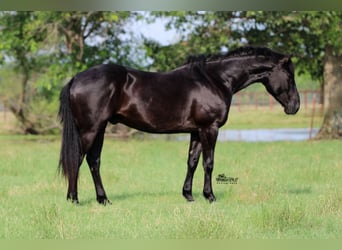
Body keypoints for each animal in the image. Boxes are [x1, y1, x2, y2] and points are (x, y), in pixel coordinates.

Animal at [58, 46, 300, 204]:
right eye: (290, 76)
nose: (295, 106)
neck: (215, 80)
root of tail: (76, 78)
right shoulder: (210, 128)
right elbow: (209, 163)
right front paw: (210, 196)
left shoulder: (196, 131)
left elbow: (192, 161)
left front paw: (189, 195)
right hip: (90, 130)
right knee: (77, 159)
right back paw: (73, 199)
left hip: (100, 129)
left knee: (93, 161)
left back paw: (103, 199)